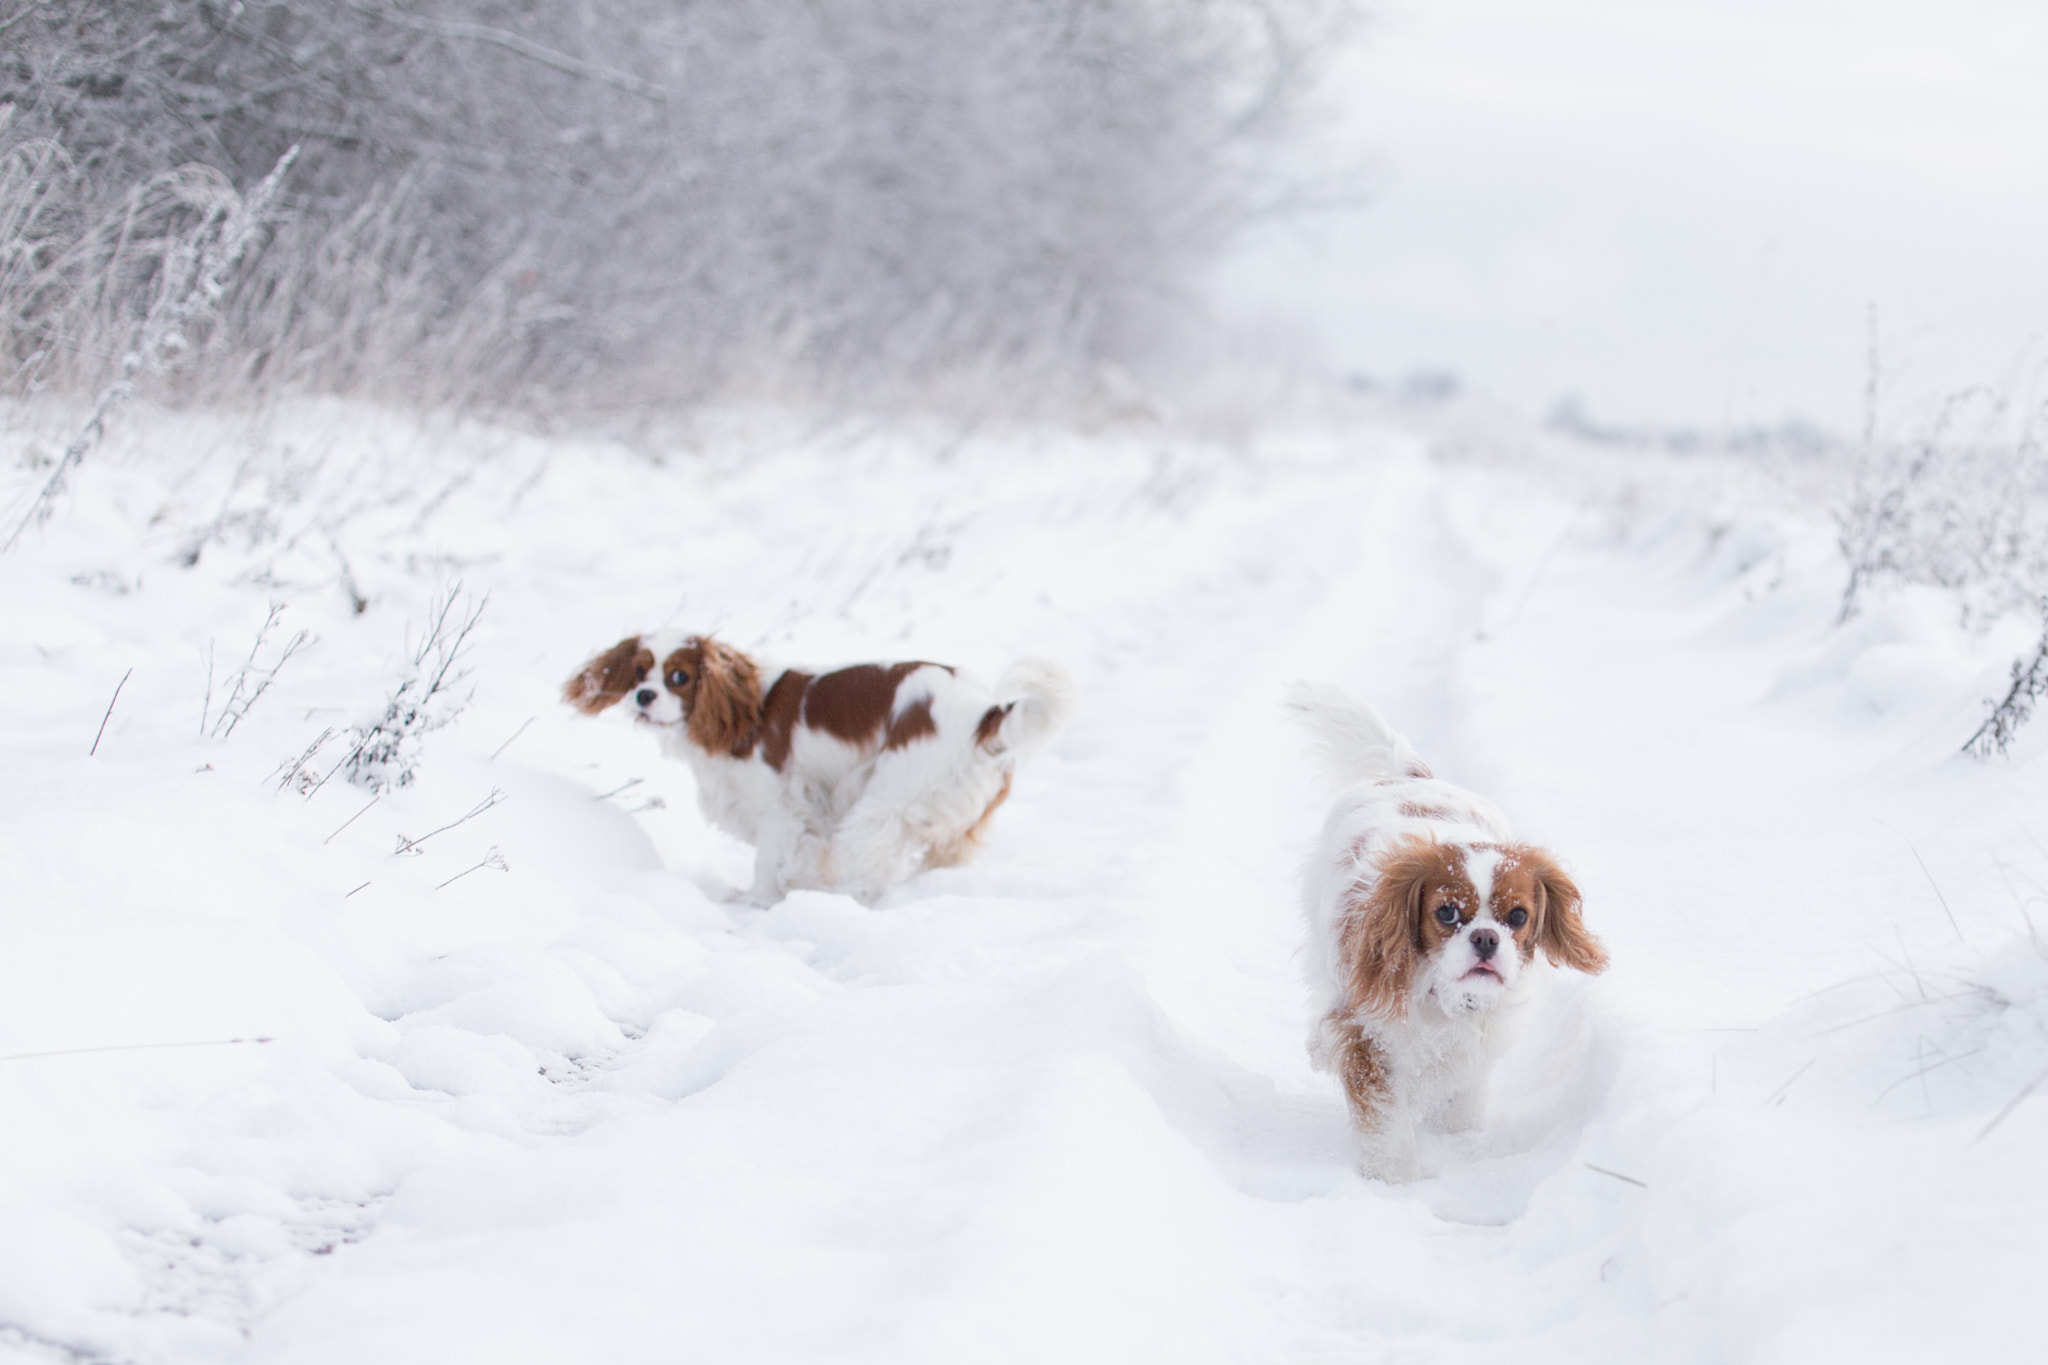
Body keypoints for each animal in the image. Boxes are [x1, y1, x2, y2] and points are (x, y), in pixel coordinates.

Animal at [561, 634, 1073, 908]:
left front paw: (758, 901)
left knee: (869, 867)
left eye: (679, 678)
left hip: (882, 801)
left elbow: (766, 861)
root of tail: (985, 711)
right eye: (639, 671)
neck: (744, 708)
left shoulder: (781, 808)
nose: (643, 697)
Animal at [1286, 687, 1605, 1178]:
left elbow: (1461, 1106)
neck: (1442, 995)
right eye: (1447, 913)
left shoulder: (1473, 1047)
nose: (1486, 938)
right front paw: (1391, 1178)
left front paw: (1458, 1146)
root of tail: (1405, 776)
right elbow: (1384, 1122)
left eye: (1518, 917)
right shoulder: (1365, 1038)